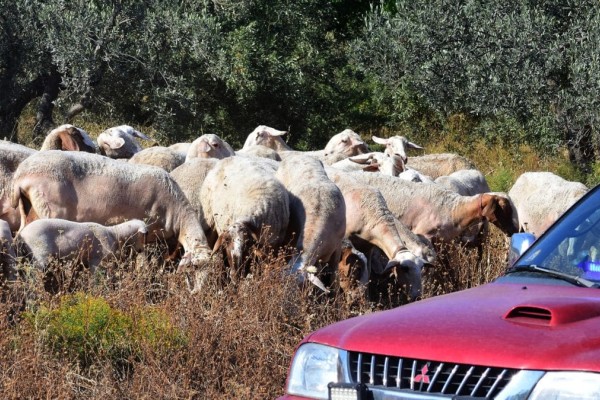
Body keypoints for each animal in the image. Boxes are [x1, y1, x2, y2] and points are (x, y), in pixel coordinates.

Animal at [14, 217, 148, 274]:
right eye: (144, 235)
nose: (141, 250)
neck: (114, 234)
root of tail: (22, 234)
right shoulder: (96, 261)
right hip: (39, 255)